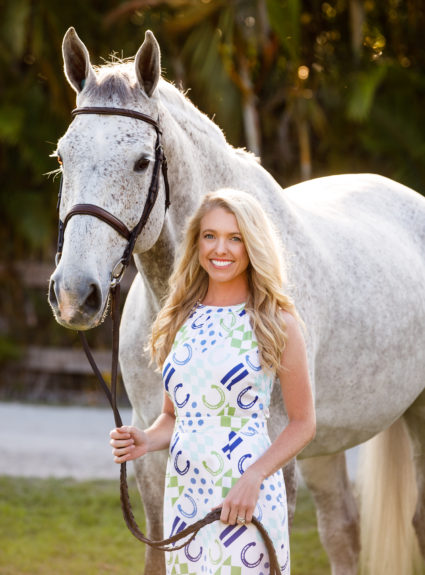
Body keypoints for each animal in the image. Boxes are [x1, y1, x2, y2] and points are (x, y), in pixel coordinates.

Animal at [48, 27, 424, 575]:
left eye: (142, 162)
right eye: (62, 157)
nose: (75, 294)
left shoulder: (274, 458)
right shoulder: (149, 451)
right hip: (327, 443)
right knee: (343, 533)